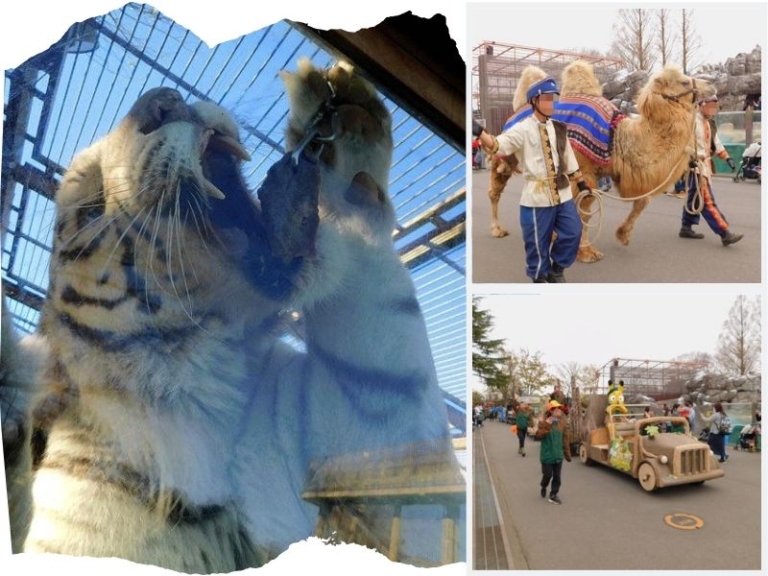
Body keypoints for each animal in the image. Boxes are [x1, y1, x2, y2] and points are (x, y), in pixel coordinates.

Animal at [486, 59, 708, 262]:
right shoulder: (583, 171)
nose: (710, 87)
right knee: (495, 191)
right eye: (684, 82)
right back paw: (497, 229)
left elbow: (641, 201)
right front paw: (586, 252)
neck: (615, 136)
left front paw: (622, 235)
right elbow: (585, 208)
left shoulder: (613, 170)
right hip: (504, 156)